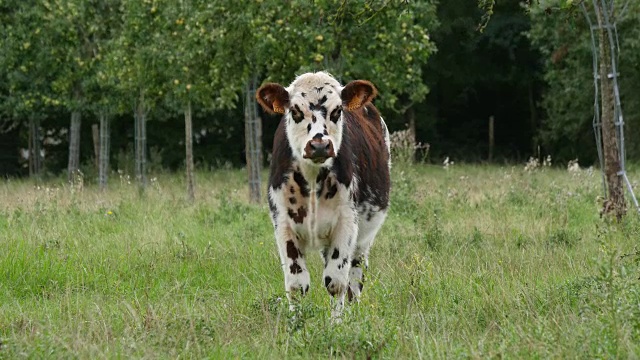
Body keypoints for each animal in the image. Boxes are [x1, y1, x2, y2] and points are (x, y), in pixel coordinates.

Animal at [256, 71, 390, 318]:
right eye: (295, 111)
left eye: (337, 111)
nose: (319, 145)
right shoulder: (283, 224)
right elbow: (296, 285)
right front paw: (296, 324)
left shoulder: (346, 224)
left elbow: (336, 282)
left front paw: (337, 323)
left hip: (364, 238)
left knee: (355, 276)